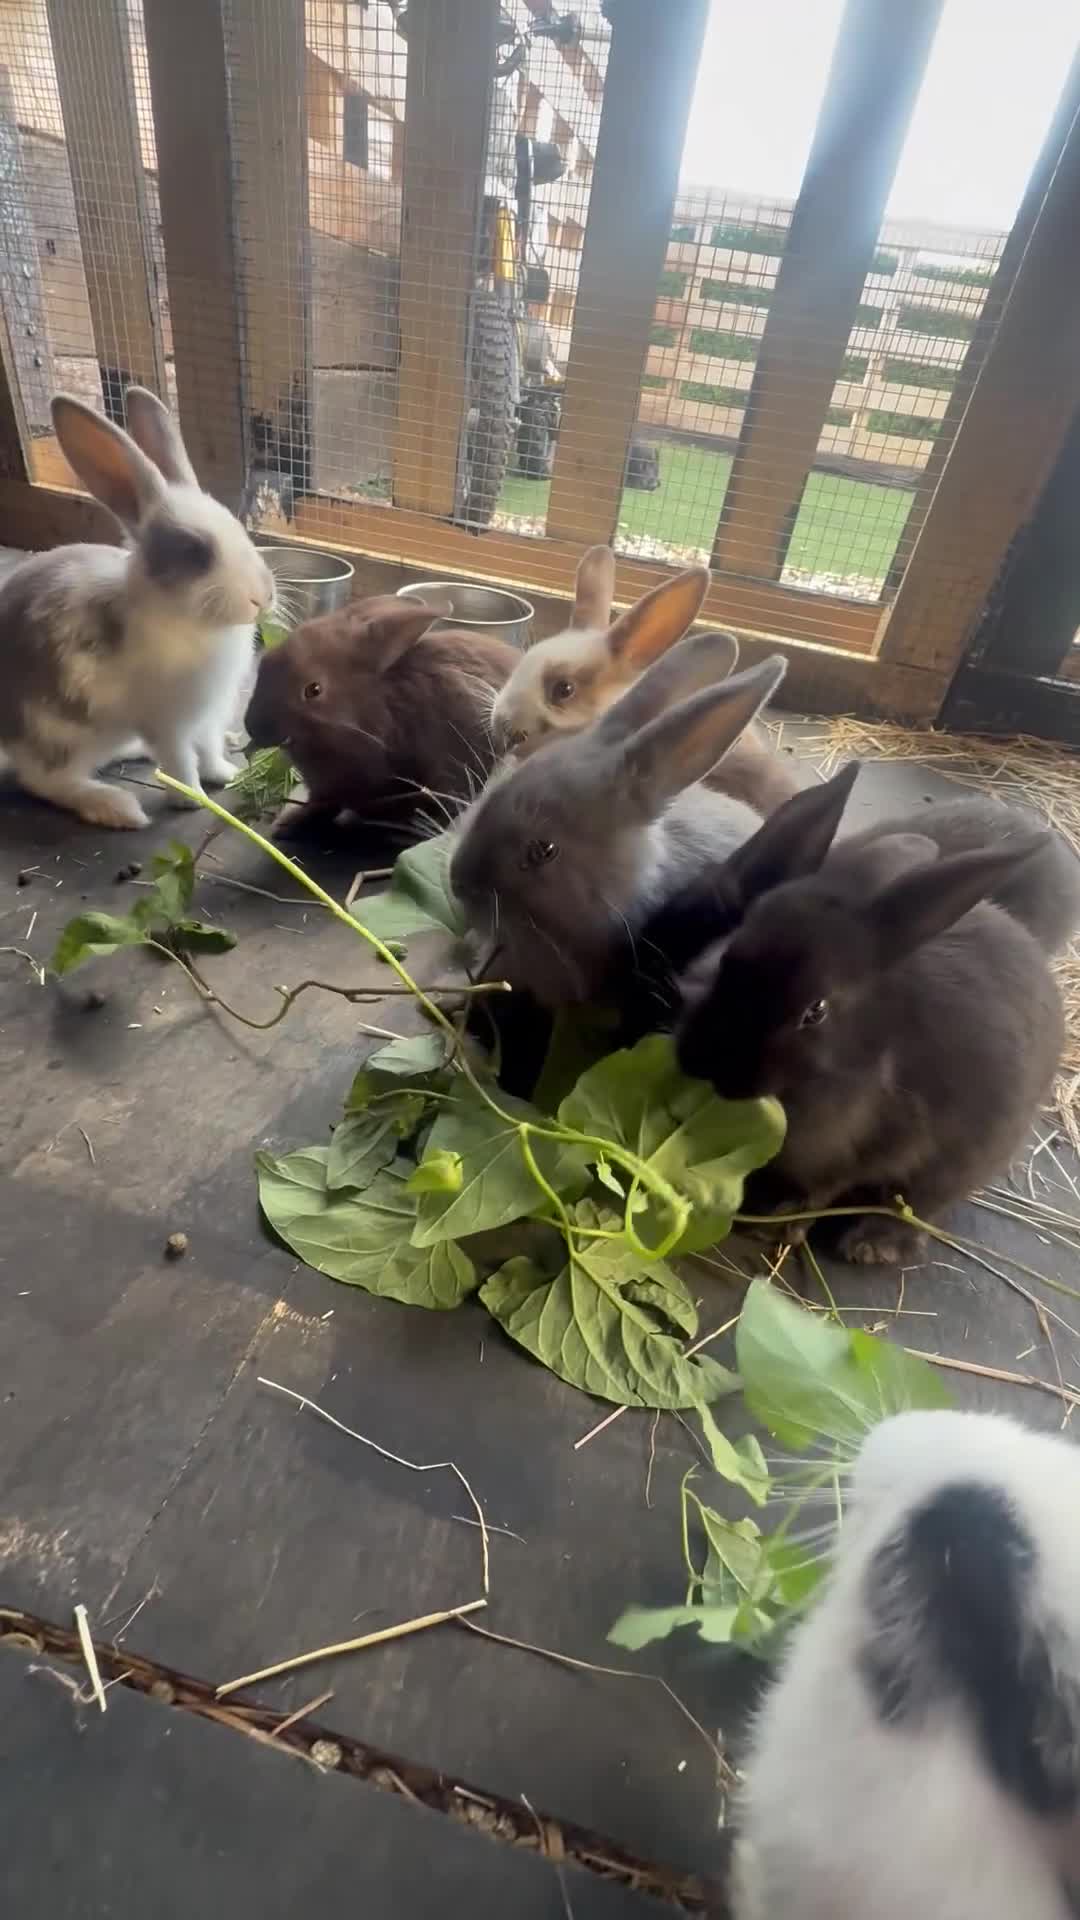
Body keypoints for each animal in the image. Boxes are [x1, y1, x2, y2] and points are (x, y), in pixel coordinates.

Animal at [0, 387, 275, 830]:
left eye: (239, 528)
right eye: (195, 552)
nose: (262, 597)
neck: (193, 624)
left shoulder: (208, 716)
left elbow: (209, 749)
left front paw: (226, 775)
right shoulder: (168, 723)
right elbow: (181, 762)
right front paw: (192, 799)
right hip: (60, 734)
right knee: (44, 781)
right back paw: (116, 807)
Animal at [672, 764, 1065, 1264]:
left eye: (816, 1011)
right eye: (728, 956)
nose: (704, 1061)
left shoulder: (874, 1146)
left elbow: (827, 1187)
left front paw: (778, 1221)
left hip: (964, 1160)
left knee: (921, 1204)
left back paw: (872, 1243)